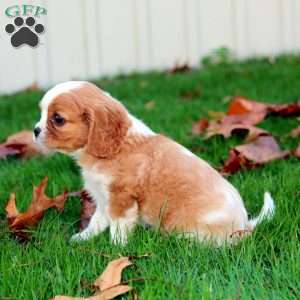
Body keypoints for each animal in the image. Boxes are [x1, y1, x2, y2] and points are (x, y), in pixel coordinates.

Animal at [34, 81, 276, 245]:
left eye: (58, 119)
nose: (35, 131)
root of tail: (245, 226)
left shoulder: (122, 200)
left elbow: (118, 228)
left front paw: (115, 249)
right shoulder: (103, 198)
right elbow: (97, 221)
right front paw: (82, 238)